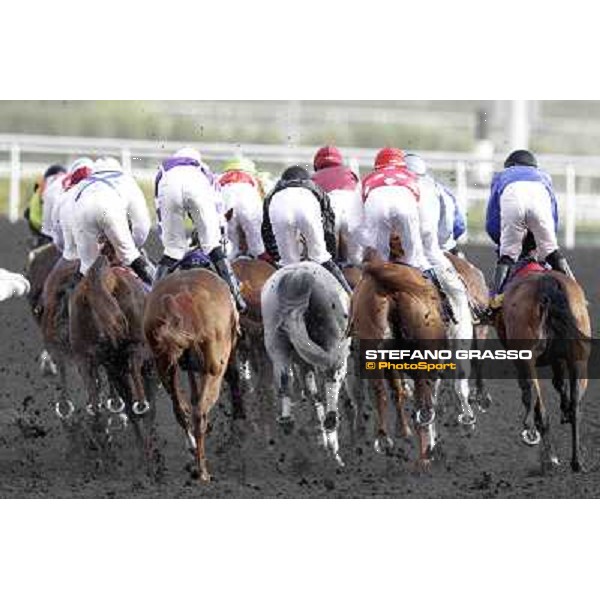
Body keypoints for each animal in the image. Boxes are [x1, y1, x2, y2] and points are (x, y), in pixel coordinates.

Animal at [143, 270, 239, 480]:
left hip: (164, 365)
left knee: (181, 409)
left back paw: (194, 454)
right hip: (214, 368)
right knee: (199, 411)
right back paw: (202, 470)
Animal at [496, 272, 592, 474]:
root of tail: (547, 283)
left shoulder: (522, 360)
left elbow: (530, 392)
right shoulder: (559, 359)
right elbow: (559, 384)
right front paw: (564, 409)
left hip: (527, 358)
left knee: (541, 409)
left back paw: (548, 455)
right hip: (578, 358)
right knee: (576, 408)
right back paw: (577, 461)